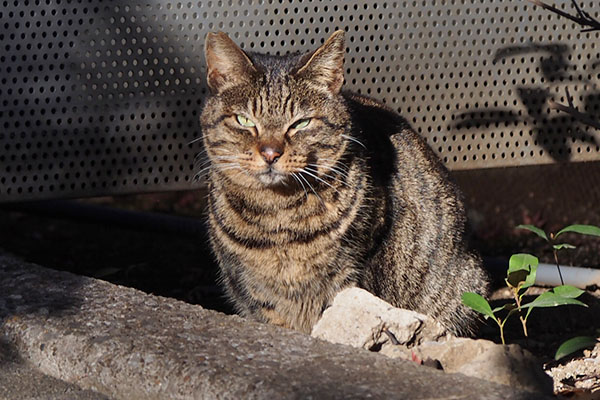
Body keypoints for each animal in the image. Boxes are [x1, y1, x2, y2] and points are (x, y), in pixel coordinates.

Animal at [199, 31, 490, 336]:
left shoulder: (356, 271)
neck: (278, 215)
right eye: (244, 120)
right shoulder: (252, 287)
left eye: (300, 123)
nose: (270, 153)